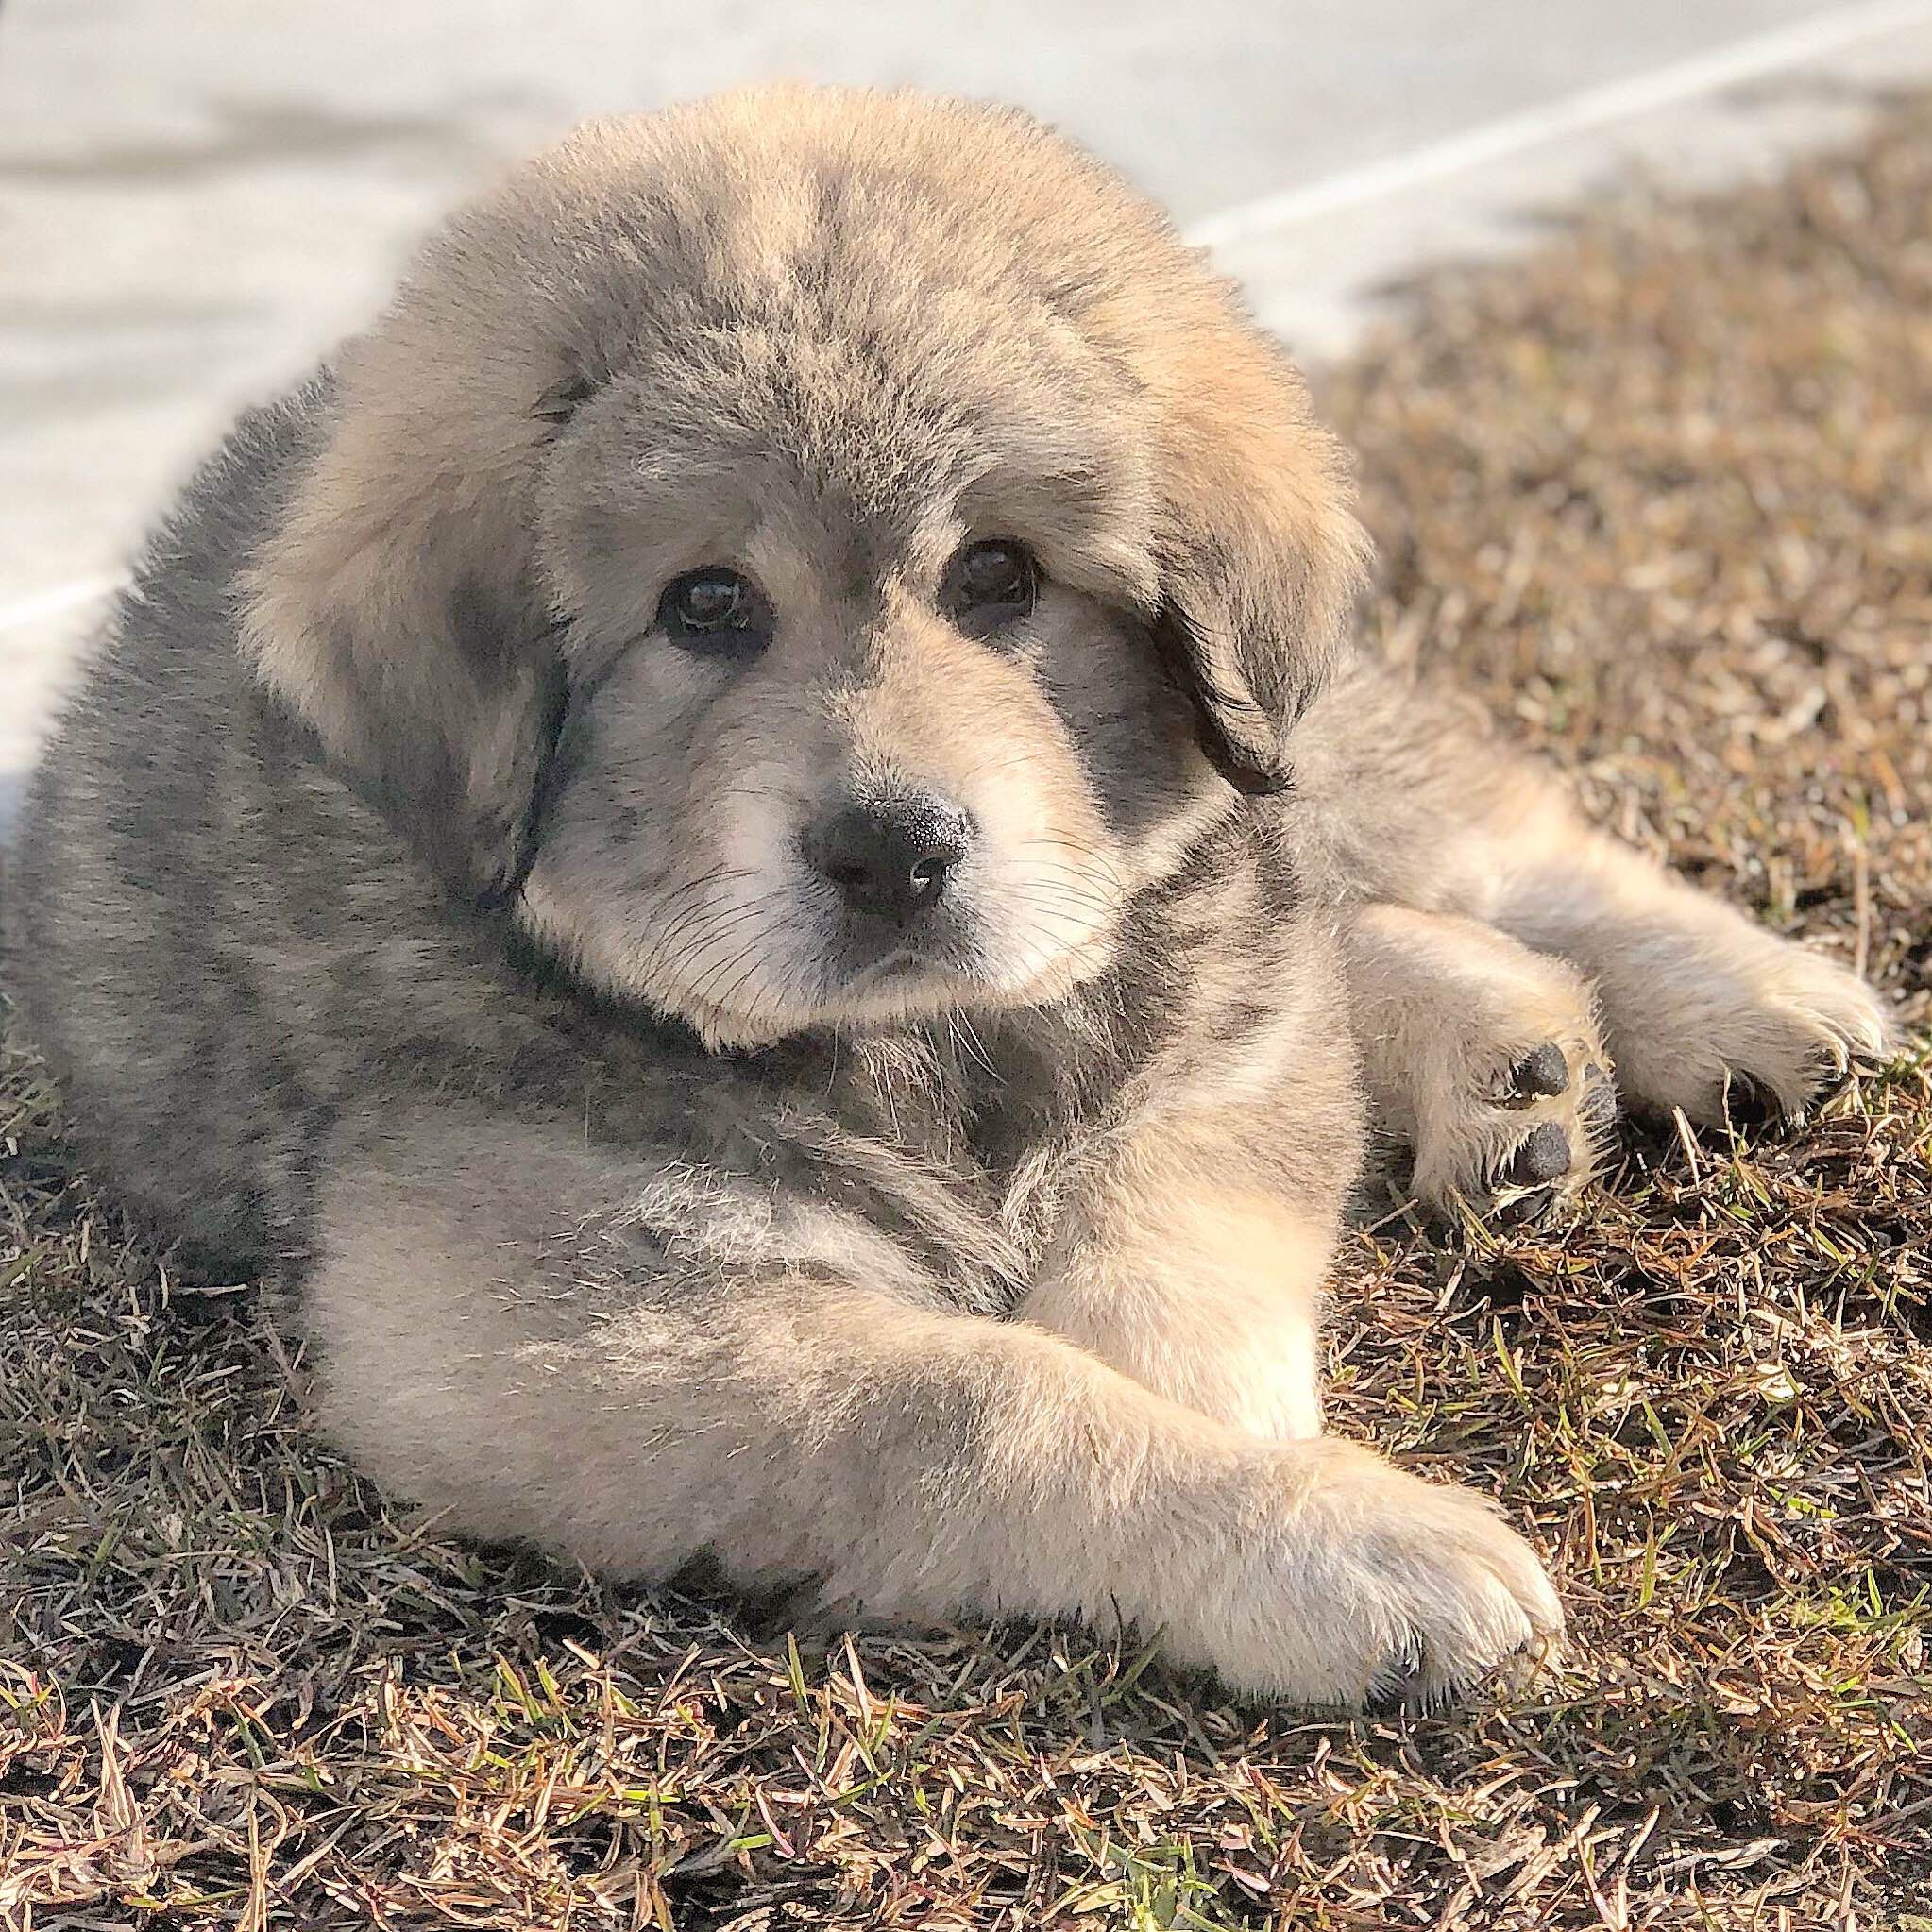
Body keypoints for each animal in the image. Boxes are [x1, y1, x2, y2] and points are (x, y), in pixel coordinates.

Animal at [11, 87, 1885, 1707]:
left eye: (996, 576)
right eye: (704, 607)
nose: (894, 849)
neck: (932, 1049)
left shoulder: (1199, 1075)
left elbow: (1153, 1295)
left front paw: (1269, 1469)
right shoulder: (532, 1315)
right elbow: (986, 1398)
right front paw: (1325, 1535)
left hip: (1309, 763)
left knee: (1467, 839)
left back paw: (1745, 1003)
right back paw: (1508, 1062)